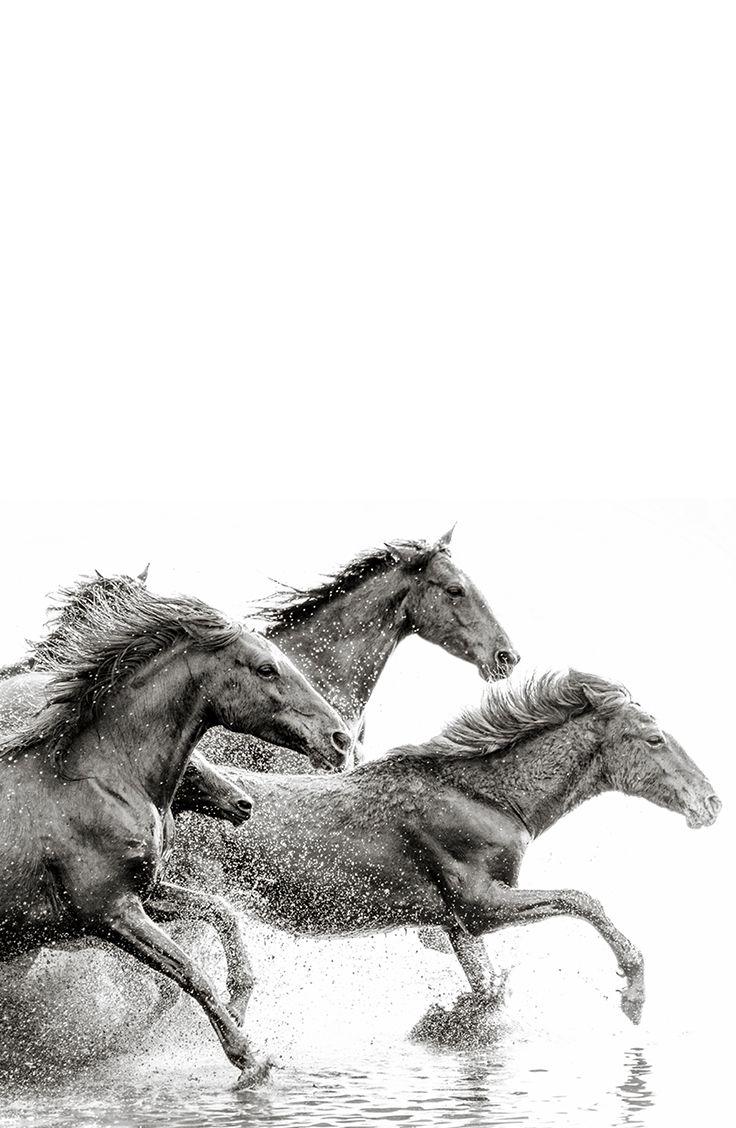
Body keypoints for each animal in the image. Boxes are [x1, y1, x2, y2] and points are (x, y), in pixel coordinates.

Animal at [0, 582, 352, 1082]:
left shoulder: (145, 894)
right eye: (266, 668)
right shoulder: (111, 912)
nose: (340, 740)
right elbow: (189, 972)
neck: (104, 778)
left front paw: (240, 999)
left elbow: (219, 911)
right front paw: (249, 1058)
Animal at [169, 669, 721, 1032]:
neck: (487, 797)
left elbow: (488, 989)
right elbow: (582, 900)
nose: (710, 802)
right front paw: (633, 992)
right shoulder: (479, 905)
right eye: (653, 738)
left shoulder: (458, 924)